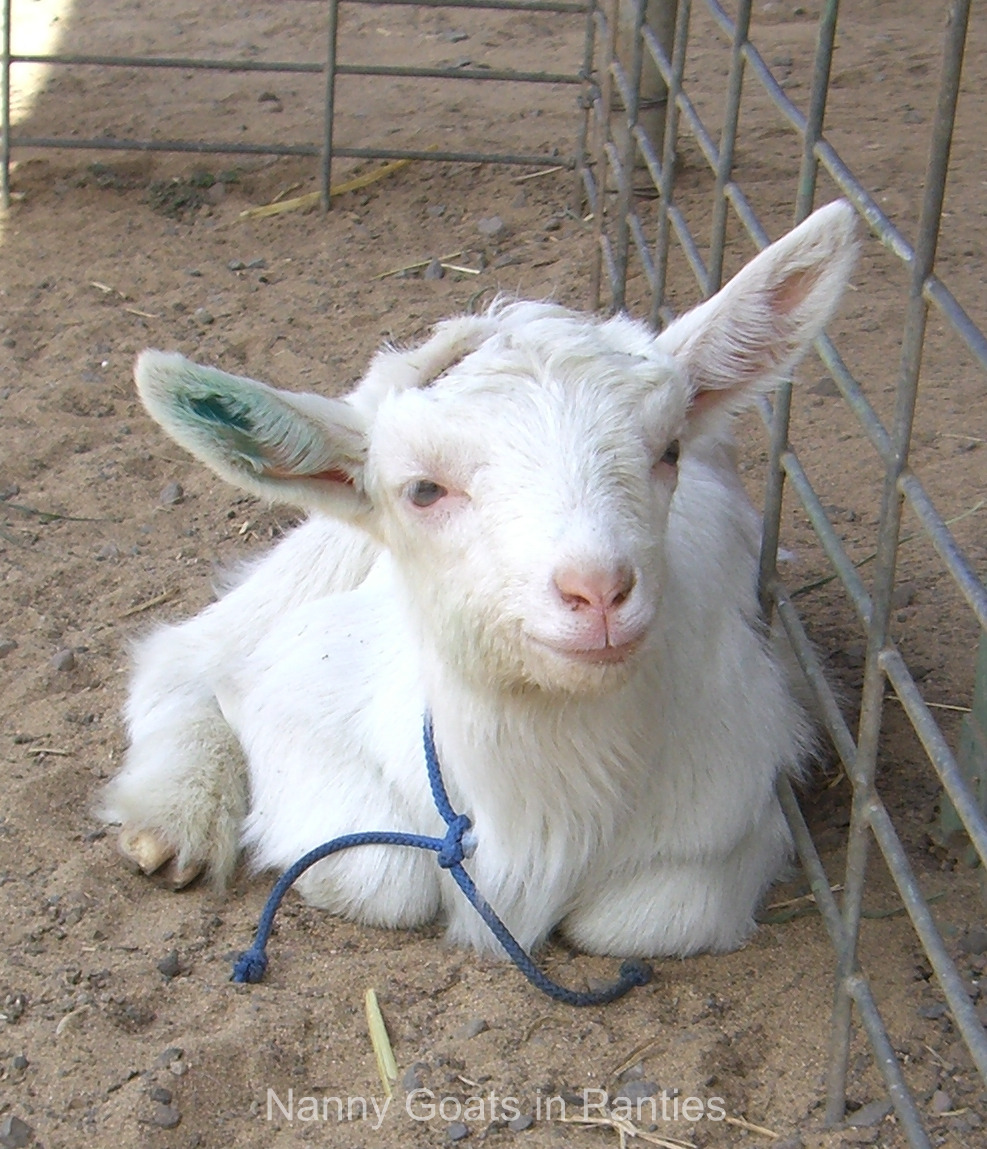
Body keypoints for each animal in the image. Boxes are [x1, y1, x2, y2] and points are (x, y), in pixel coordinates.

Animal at [101, 201, 856, 958]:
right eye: (423, 490)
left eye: (668, 450)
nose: (599, 590)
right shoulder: (299, 694)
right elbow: (380, 875)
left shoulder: (741, 779)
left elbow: (638, 918)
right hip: (329, 546)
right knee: (187, 653)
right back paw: (174, 815)